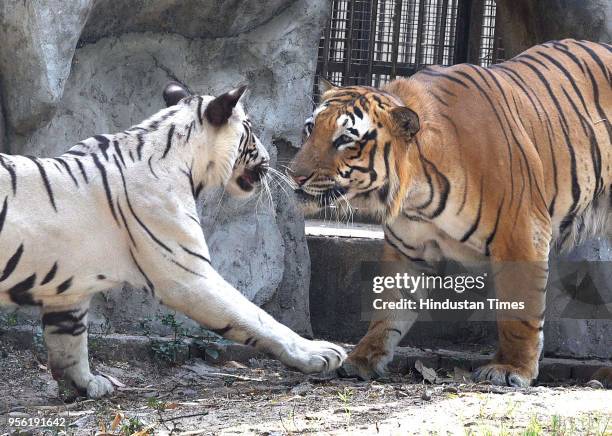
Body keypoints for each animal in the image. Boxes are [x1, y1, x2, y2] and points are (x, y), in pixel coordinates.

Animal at [0, 82, 344, 398]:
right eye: (249, 129)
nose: (268, 156)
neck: (182, 158)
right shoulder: (188, 276)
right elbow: (257, 317)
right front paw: (319, 353)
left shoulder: (68, 293)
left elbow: (70, 342)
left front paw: (87, 383)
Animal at [290, 39, 608, 386]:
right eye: (310, 129)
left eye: (345, 140)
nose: (294, 175)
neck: (418, 193)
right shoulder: (407, 250)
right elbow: (389, 306)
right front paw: (363, 358)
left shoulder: (522, 234)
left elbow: (520, 312)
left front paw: (511, 368)